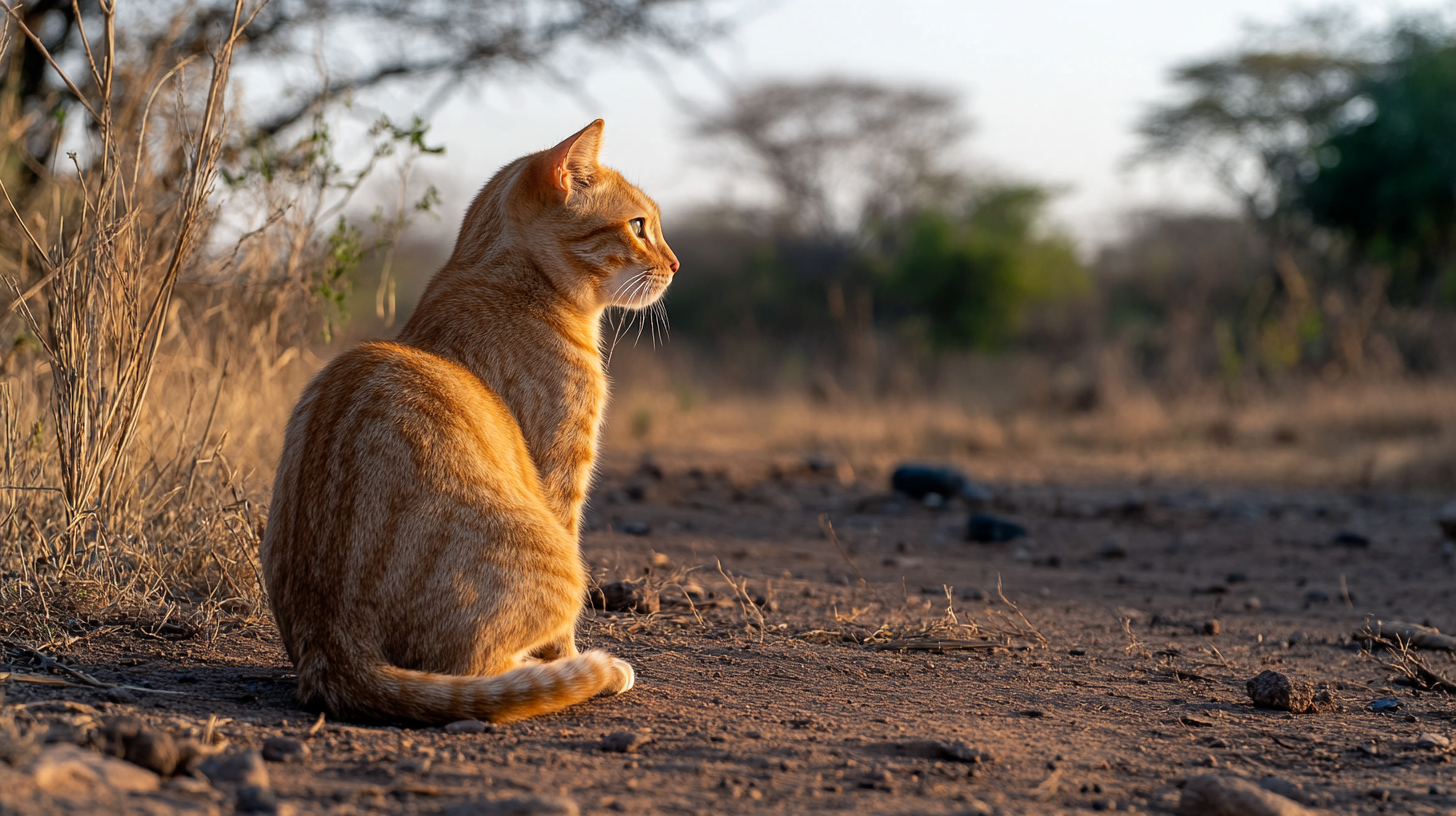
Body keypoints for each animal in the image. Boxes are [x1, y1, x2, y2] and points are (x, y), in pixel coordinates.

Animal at [259, 119, 678, 719]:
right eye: (639, 225)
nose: (675, 264)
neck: (514, 281)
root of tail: (330, 649)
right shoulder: (562, 478)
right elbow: (561, 638)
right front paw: (571, 660)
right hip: (557, 561)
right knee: (479, 673)